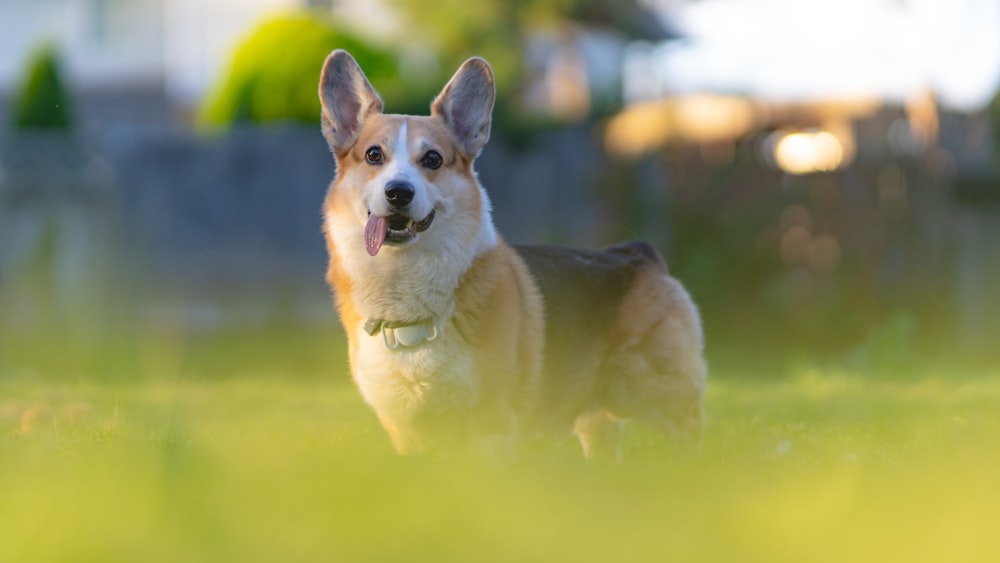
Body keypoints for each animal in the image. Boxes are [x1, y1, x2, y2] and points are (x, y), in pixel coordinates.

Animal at [318, 50, 704, 460]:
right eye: (374, 155)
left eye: (433, 159)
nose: (398, 192)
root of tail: (639, 253)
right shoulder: (407, 435)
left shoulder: (493, 426)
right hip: (597, 415)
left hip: (653, 394)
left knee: (690, 431)